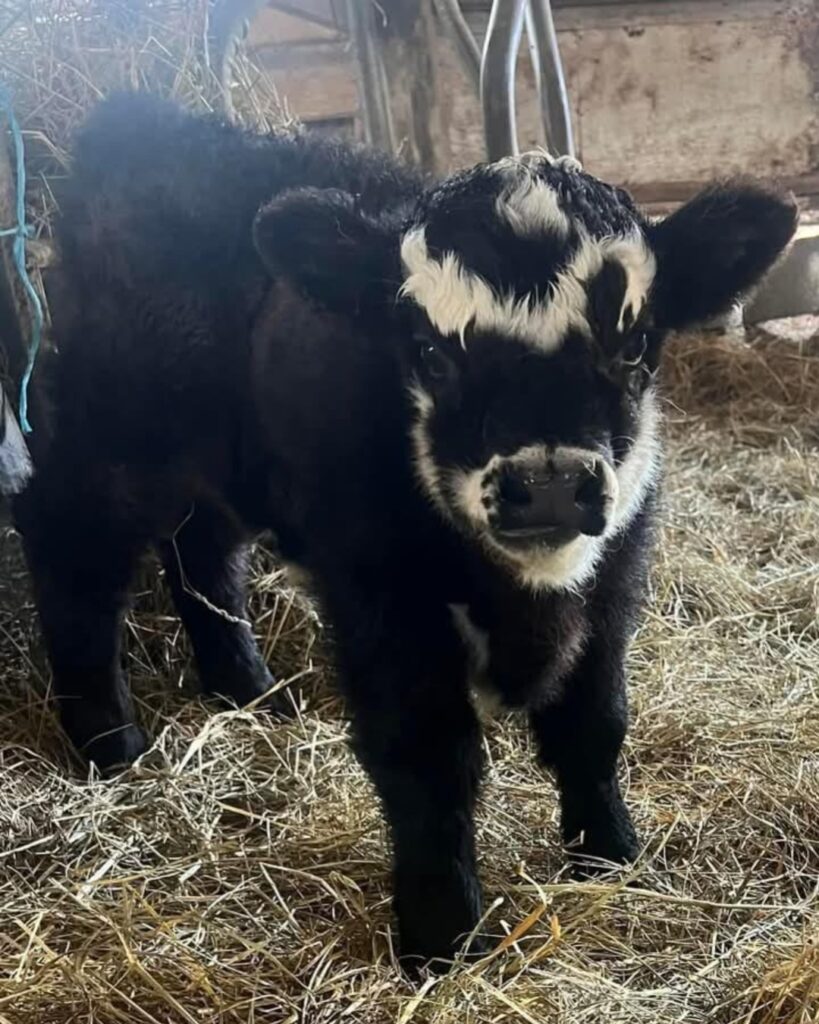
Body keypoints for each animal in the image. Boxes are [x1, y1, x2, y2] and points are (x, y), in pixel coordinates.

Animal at [14, 93, 796, 969]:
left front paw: (609, 856)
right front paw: (441, 934)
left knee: (204, 555)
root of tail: (138, 119)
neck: (528, 597)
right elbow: (425, 758)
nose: (548, 483)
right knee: (72, 556)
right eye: (426, 350)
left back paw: (249, 691)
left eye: (633, 345)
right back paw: (110, 741)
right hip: (110, 442)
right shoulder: (381, 601)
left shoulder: (615, 581)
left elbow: (594, 722)